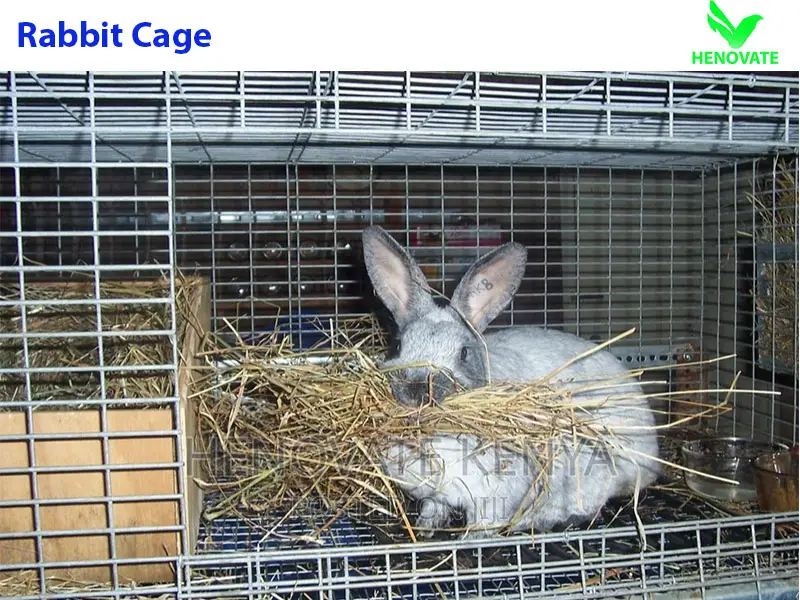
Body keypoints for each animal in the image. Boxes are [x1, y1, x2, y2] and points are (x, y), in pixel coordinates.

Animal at [361, 225, 661, 539]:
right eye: (397, 346)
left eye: (464, 353)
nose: (417, 389)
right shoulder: (434, 494)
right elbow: (434, 507)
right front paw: (426, 528)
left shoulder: (492, 495)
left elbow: (485, 520)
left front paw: (471, 538)